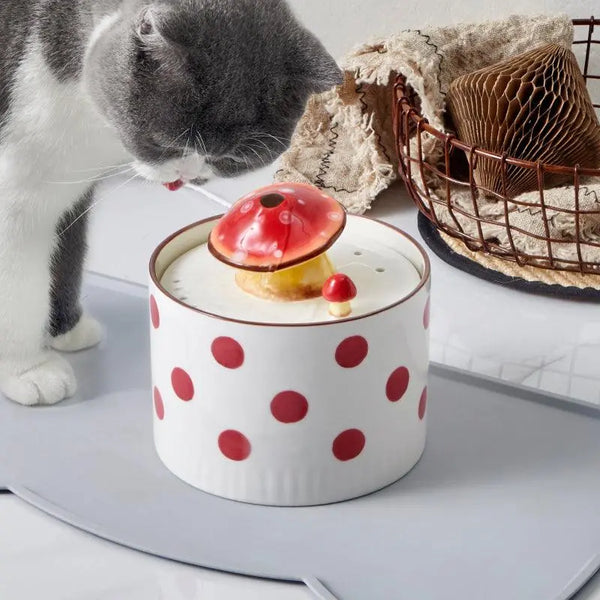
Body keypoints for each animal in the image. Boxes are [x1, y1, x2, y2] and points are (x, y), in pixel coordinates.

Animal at [0, 0, 342, 406]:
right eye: (166, 142)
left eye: (229, 160)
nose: (186, 174)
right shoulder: (16, 196)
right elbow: (17, 288)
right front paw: (28, 370)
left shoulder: (71, 193)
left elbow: (67, 254)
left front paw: (66, 329)